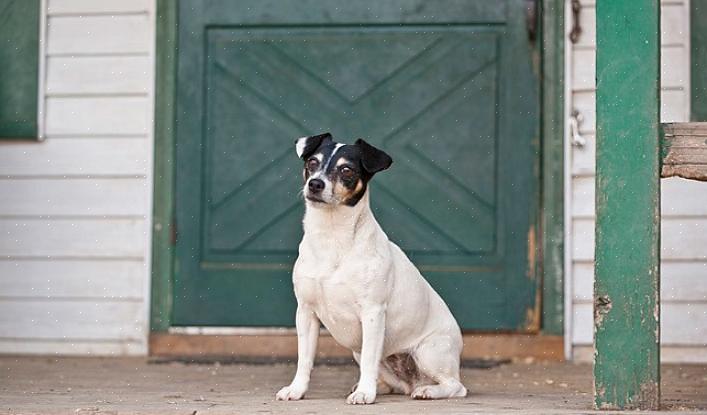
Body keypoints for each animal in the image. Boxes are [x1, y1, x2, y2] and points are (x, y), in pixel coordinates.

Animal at [276, 134, 470, 406]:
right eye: (312, 162)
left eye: (346, 170)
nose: (315, 184)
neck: (331, 236)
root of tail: (413, 382)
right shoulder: (305, 312)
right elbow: (304, 359)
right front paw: (297, 389)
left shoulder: (372, 313)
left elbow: (369, 359)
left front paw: (365, 394)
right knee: (394, 383)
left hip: (430, 352)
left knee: (456, 386)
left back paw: (426, 391)